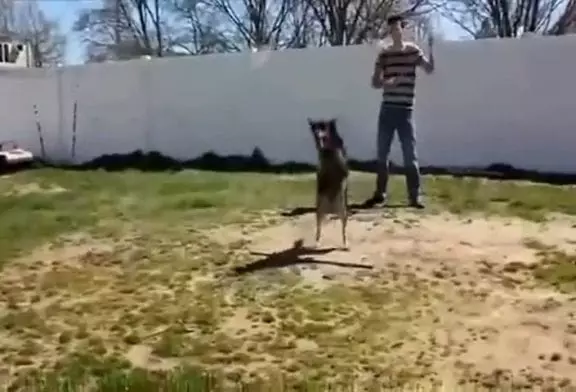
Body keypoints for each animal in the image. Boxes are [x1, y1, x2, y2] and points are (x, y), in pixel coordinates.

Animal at [308, 118, 348, 250]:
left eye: (323, 127)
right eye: (314, 128)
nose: (316, 134)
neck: (327, 150)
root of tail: (331, 210)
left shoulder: (342, 167)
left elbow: (343, 175)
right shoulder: (321, 167)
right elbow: (320, 175)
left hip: (343, 210)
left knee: (343, 229)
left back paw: (345, 243)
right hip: (319, 210)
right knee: (319, 228)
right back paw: (317, 242)